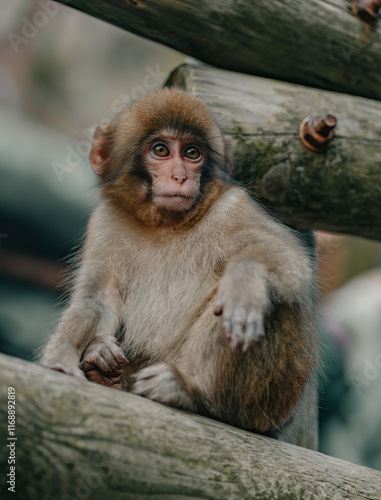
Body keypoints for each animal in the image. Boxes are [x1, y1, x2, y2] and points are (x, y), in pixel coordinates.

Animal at [40, 88, 314, 440]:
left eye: (192, 153)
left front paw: (245, 282)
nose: (180, 176)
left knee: (272, 301)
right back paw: (102, 366)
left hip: (270, 408)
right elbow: (96, 300)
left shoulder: (232, 207)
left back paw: (193, 392)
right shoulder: (105, 222)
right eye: (161, 150)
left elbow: (290, 261)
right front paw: (63, 355)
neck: (164, 226)